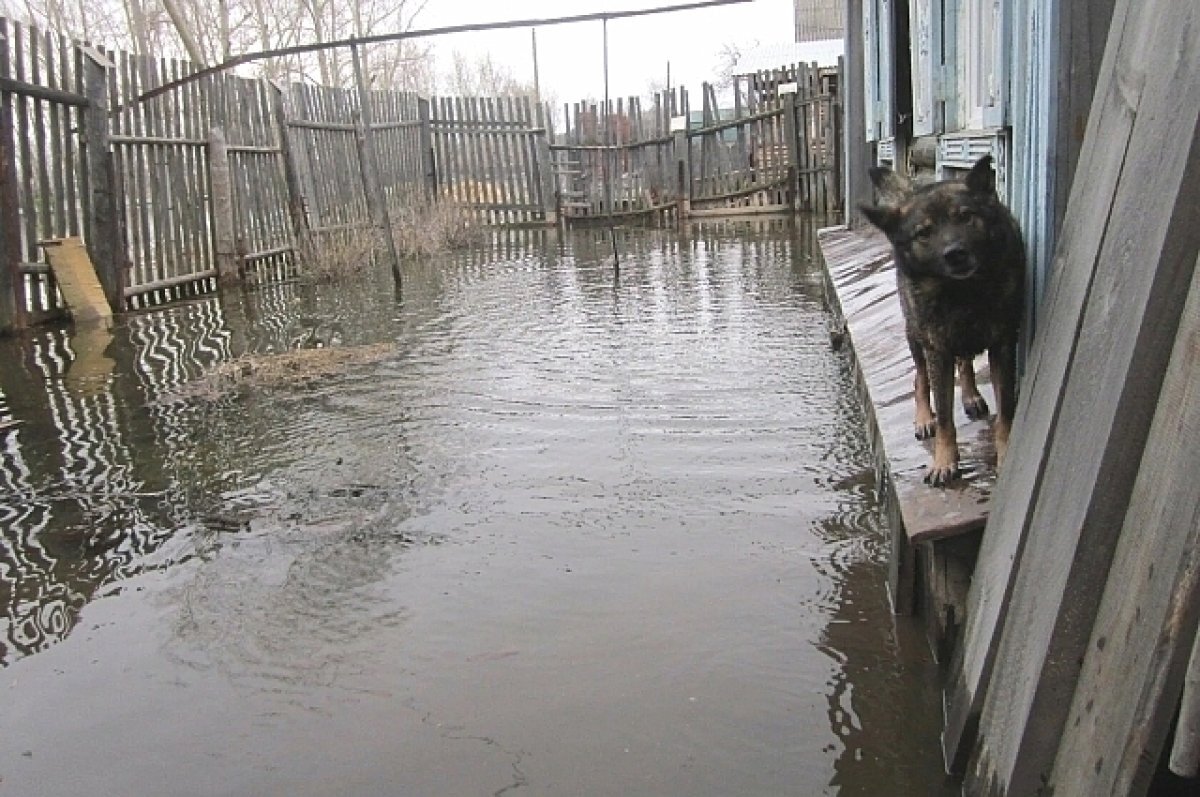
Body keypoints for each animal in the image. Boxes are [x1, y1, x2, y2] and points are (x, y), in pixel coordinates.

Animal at [864, 154, 1022, 484]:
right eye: (924, 232)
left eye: (966, 216)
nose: (955, 254)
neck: (963, 292)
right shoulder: (938, 350)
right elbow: (945, 416)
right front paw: (944, 461)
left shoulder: (1002, 345)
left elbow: (1005, 411)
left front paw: (1004, 452)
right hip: (915, 335)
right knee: (920, 377)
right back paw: (925, 417)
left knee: (965, 362)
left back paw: (971, 396)